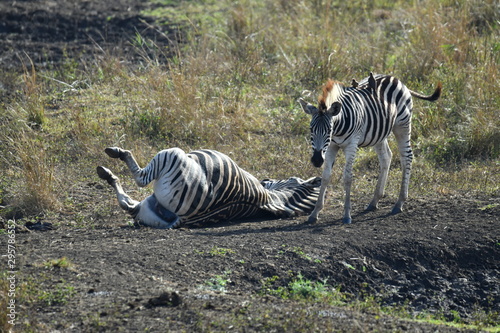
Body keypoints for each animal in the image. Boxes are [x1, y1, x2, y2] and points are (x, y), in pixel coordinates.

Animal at [96, 147, 320, 228]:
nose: (265, 179)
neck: (273, 198)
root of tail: (183, 220)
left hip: (173, 155)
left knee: (141, 179)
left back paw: (115, 154)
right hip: (147, 207)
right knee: (128, 204)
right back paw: (108, 175)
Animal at [298, 72, 440, 223]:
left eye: (329, 130)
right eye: (311, 129)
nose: (317, 160)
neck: (338, 129)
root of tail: (395, 78)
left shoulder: (351, 145)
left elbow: (347, 177)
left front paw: (347, 215)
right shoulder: (331, 146)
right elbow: (325, 176)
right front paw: (315, 213)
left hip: (402, 124)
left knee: (406, 156)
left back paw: (399, 202)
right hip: (379, 133)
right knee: (386, 157)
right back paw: (374, 201)